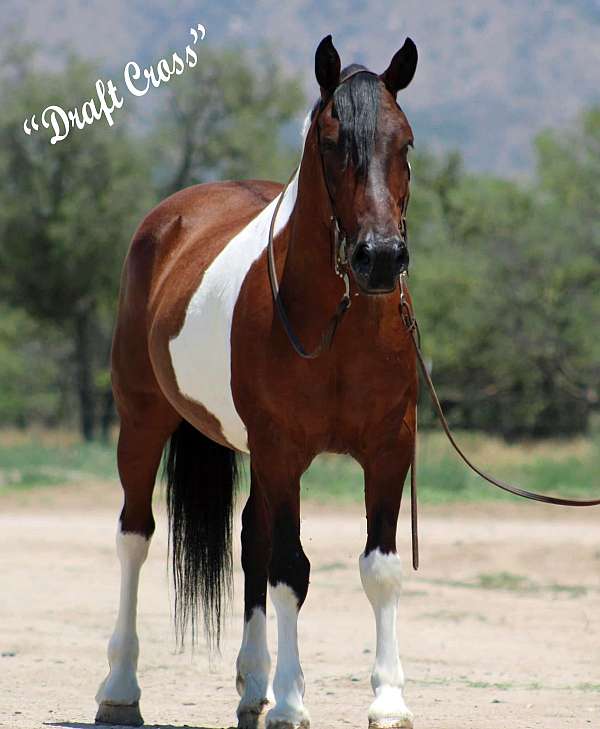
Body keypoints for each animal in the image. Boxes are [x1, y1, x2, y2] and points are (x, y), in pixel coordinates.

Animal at [95, 34, 419, 729]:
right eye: (333, 142)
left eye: (404, 142)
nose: (379, 258)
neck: (337, 326)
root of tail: (171, 218)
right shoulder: (282, 451)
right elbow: (291, 569)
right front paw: (293, 703)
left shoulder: (389, 449)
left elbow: (378, 569)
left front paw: (387, 701)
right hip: (142, 423)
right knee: (135, 537)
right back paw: (120, 689)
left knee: (250, 537)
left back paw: (251, 686)